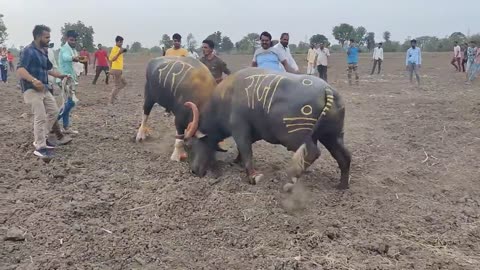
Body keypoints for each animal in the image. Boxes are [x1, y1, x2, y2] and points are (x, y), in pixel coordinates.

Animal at [182, 67, 350, 190]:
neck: (225, 98)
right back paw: (342, 185)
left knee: (312, 153)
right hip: (332, 135)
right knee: (344, 156)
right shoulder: (254, 133)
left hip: (296, 137)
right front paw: (237, 161)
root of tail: (327, 89)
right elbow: (242, 149)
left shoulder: (239, 129)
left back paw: (290, 182)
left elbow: (246, 150)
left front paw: (252, 176)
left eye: (188, 145)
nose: (193, 171)